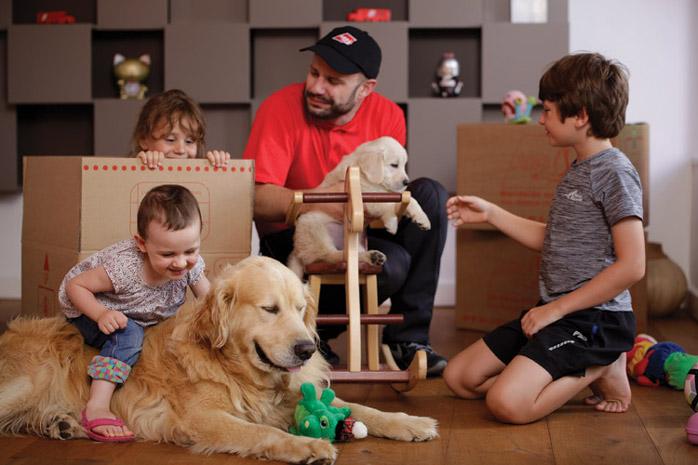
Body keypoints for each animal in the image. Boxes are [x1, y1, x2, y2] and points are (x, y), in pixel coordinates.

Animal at [0, 256, 436, 462]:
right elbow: (261, 433)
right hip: (29, 381)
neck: (241, 372)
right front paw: (306, 447)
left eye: (301, 309)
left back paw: (62, 424)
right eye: (269, 309)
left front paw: (410, 423)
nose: (306, 349)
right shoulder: (203, 418)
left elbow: (364, 407)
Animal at [286, 136, 430, 278]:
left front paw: (422, 219)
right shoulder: (368, 196)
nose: (406, 182)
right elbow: (387, 205)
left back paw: (373, 256)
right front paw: (392, 223)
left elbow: (411, 201)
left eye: (404, 166)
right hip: (315, 230)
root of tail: (296, 251)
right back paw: (370, 257)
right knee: (335, 256)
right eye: (394, 165)